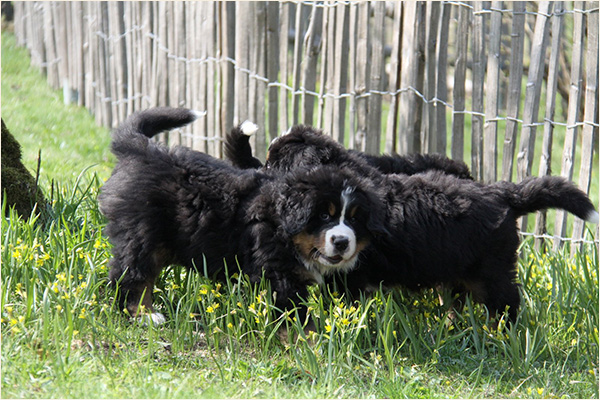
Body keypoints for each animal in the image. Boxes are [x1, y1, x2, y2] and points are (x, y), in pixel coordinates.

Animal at [99, 108, 387, 325]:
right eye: (324, 216)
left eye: (354, 219)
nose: (342, 242)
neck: (282, 222)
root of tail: (142, 149)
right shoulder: (278, 273)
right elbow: (294, 317)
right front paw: (306, 346)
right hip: (141, 234)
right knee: (132, 275)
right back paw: (144, 315)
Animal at [238, 125, 600, 321]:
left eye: (272, 162)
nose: (255, 172)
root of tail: (502, 191)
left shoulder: (351, 276)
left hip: (492, 268)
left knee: (507, 302)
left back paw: (504, 335)